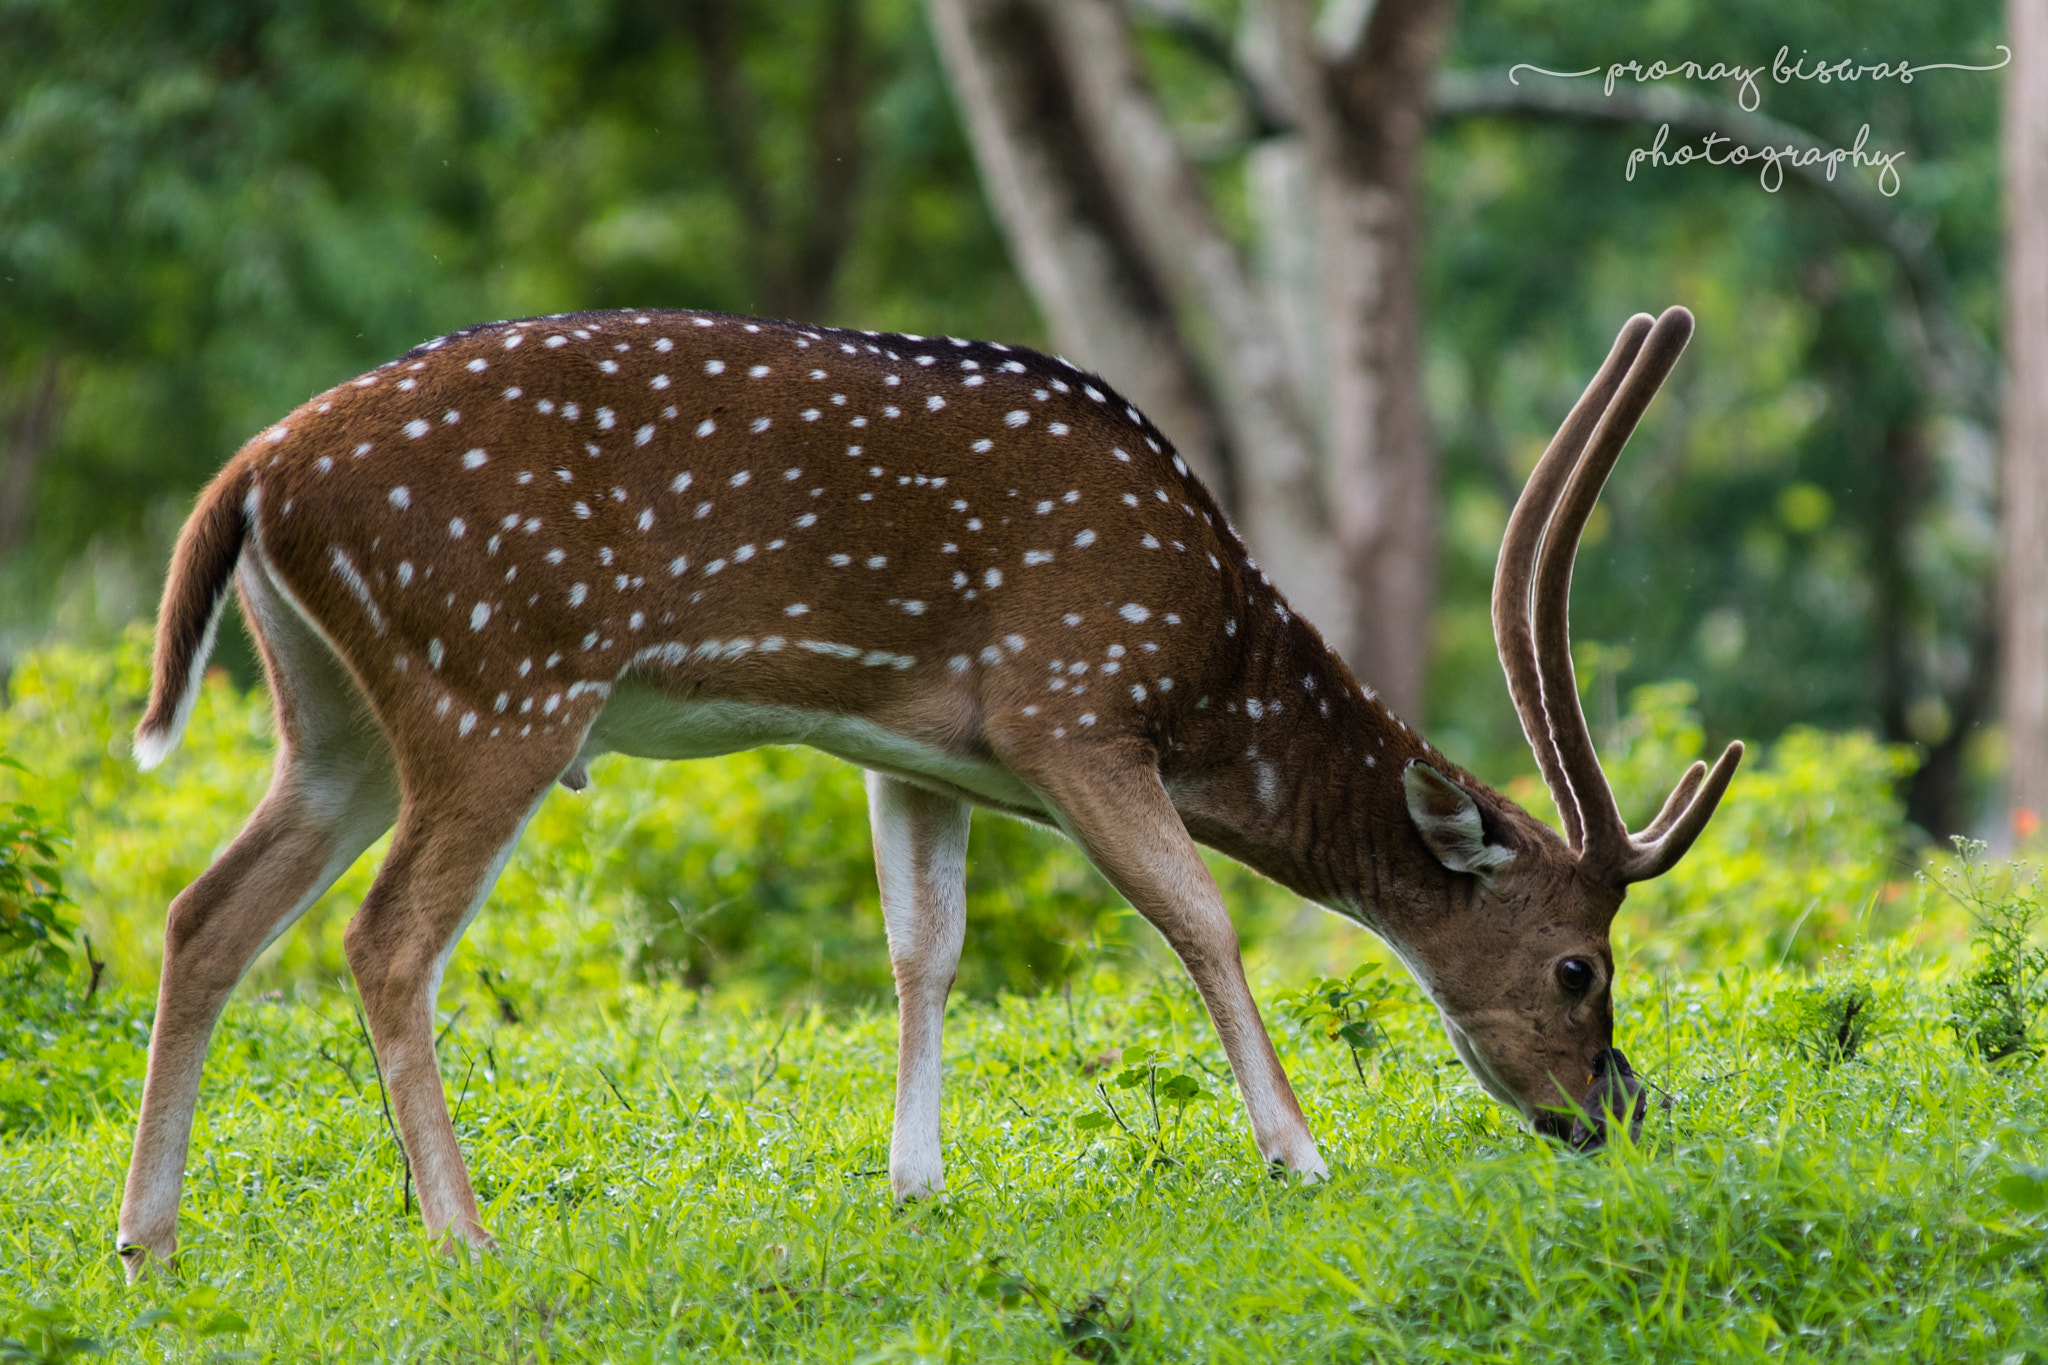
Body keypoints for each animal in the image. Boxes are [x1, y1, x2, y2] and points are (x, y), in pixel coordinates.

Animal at [117, 302, 1738, 1277]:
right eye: (1579, 964)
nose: (1612, 1110)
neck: (1205, 659)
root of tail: (251, 474)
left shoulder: (914, 750)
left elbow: (925, 949)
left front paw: (914, 1184)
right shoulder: (1068, 702)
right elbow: (1200, 921)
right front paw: (1298, 1153)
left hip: (328, 718)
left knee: (205, 914)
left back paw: (148, 1244)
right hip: (497, 682)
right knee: (383, 936)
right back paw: (463, 1238)